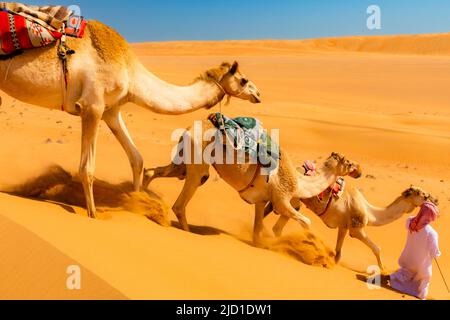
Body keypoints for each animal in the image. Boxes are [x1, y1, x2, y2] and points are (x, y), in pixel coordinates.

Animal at [0, 21, 260, 219]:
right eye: (244, 80)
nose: (258, 95)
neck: (131, 72)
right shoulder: (92, 106)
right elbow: (87, 168)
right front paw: (93, 214)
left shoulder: (111, 110)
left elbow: (137, 158)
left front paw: (136, 203)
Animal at [144, 122, 362, 242]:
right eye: (349, 163)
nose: (359, 170)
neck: (299, 183)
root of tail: (189, 129)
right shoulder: (282, 200)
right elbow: (305, 221)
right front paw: (315, 247)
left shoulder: (260, 200)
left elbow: (257, 230)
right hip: (198, 162)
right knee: (182, 201)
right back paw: (186, 230)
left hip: (182, 160)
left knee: (152, 171)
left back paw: (143, 199)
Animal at [266, 184, 438, 268]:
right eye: (424, 195)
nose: (436, 200)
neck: (370, 212)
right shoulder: (356, 229)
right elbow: (376, 248)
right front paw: (383, 271)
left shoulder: (343, 226)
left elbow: (338, 251)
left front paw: (332, 263)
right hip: (292, 197)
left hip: (295, 200)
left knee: (278, 223)